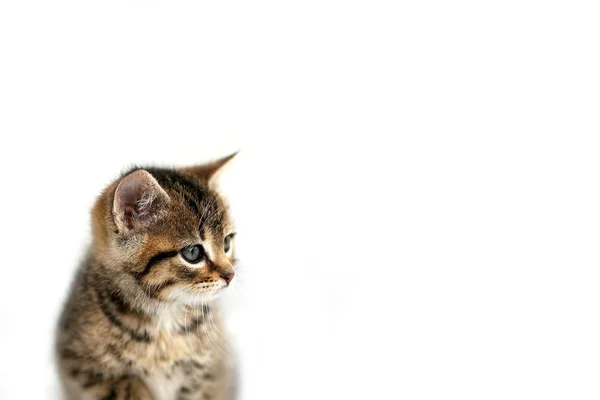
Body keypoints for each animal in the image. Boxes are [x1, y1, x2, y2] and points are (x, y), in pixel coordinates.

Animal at [55, 154, 239, 400]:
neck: (165, 319)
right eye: (193, 253)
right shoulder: (83, 368)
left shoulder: (210, 374)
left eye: (227, 243)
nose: (230, 275)